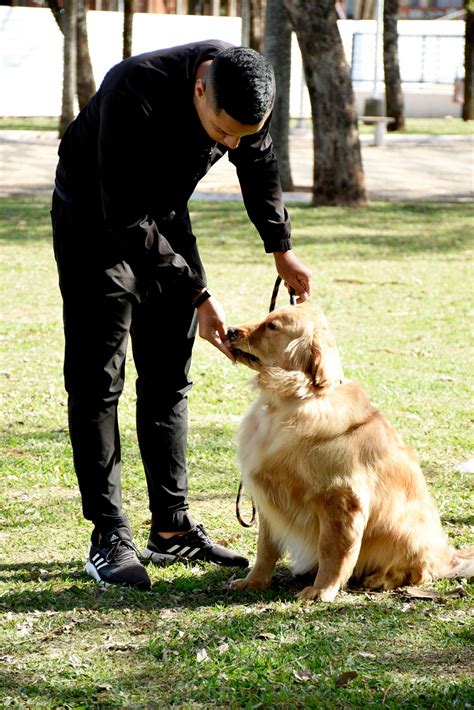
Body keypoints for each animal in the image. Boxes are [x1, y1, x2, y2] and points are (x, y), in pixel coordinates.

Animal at [228, 304, 472, 604]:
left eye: (272, 326)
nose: (229, 330)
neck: (294, 401)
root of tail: (448, 558)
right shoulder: (269, 499)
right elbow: (265, 548)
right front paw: (254, 581)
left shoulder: (341, 499)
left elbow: (332, 550)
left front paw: (321, 590)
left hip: (407, 528)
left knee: (416, 572)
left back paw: (380, 578)